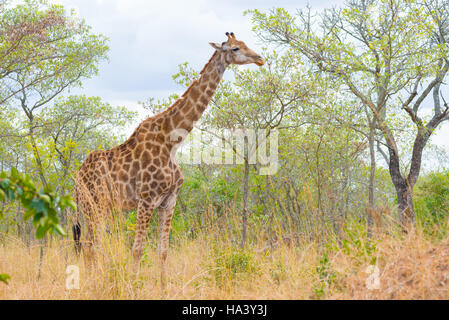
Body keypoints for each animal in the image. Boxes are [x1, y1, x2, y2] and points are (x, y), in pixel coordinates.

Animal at [72, 32, 264, 286]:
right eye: (235, 48)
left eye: (244, 43)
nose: (260, 58)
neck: (172, 140)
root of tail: (77, 178)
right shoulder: (146, 199)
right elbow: (137, 248)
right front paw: (134, 286)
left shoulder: (169, 200)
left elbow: (163, 250)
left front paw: (163, 287)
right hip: (92, 206)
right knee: (90, 247)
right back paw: (93, 282)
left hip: (102, 207)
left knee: (92, 246)